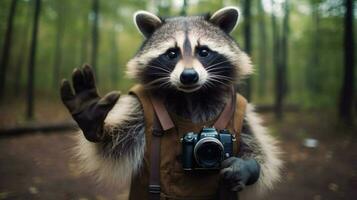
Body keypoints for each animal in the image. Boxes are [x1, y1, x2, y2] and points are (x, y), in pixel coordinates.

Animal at [62, 5, 284, 198]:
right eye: (172, 53)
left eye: (204, 51)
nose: (189, 76)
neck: (191, 95)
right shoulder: (138, 108)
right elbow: (114, 146)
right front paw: (91, 113)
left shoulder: (242, 111)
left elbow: (258, 151)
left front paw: (246, 168)